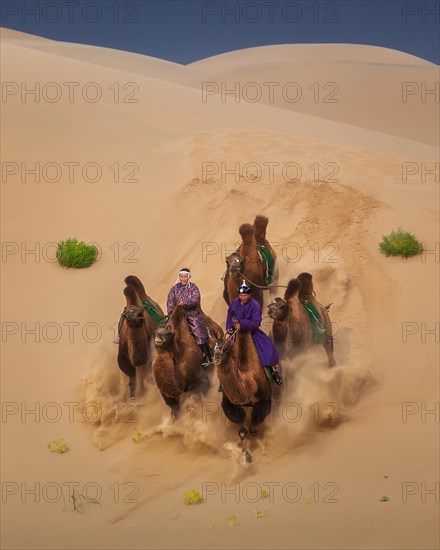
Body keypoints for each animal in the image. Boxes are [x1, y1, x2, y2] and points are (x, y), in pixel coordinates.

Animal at [215, 332, 274, 466]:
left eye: (226, 348)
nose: (216, 356)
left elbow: (253, 430)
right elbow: (242, 431)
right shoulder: (230, 404)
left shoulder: (264, 399)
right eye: (212, 348)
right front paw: (246, 456)